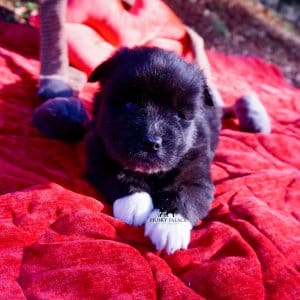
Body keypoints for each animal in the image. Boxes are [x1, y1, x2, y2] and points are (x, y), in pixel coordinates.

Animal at [86, 47, 220, 253]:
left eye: (178, 114)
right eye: (129, 104)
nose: (151, 142)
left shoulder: (196, 172)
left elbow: (184, 194)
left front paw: (168, 228)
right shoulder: (98, 151)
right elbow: (118, 174)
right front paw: (135, 203)